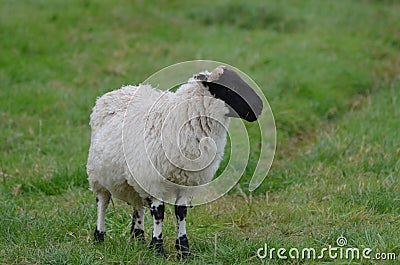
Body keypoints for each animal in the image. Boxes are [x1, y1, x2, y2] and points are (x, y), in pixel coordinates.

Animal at [87, 65, 262, 256]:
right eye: (229, 88)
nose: (259, 107)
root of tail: (117, 90)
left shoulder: (186, 181)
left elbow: (181, 212)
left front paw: (183, 249)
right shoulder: (154, 180)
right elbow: (159, 213)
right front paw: (157, 248)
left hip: (134, 178)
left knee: (138, 205)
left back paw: (138, 238)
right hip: (97, 174)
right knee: (102, 203)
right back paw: (99, 237)